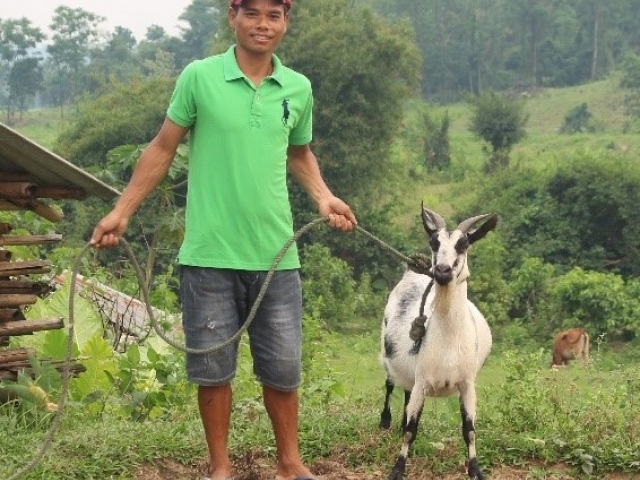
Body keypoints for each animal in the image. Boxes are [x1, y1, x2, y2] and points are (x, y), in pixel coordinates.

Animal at [380, 205, 498, 480]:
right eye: (434, 243)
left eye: (464, 244)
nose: (443, 271)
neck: (448, 342)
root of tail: (411, 273)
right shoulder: (423, 380)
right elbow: (411, 430)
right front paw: (397, 469)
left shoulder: (467, 384)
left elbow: (469, 430)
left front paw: (475, 470)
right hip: (387, 354)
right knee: (390, 385)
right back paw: (385, 422)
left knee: (405, 390)